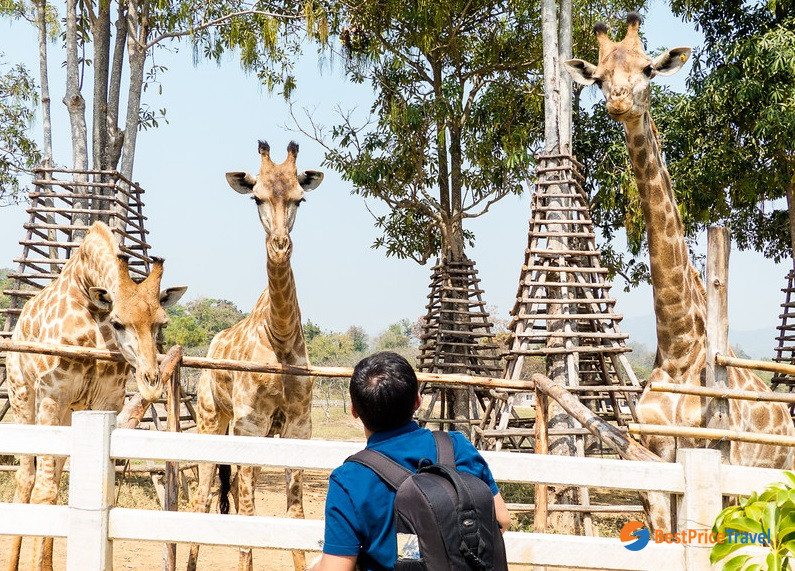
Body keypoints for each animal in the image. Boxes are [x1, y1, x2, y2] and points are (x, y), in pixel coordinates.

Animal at [5, 221, 186, 571]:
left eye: (162, 322)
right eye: (118, 322)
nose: (151, 381)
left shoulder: (105, 400)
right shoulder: (52, 396)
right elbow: (44, 491)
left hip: (67, 413)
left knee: (55, 472)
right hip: (23, 397)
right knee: (27, 478)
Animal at [186, 140, 323, 571]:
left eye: (300, 199)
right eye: (256, 198)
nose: (280, 246)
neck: (279, 336)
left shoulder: (298, 427)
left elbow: (295, 514)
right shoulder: (248, 423)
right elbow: (246, 512)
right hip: (212, 419)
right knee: (202, 497)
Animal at [564, 13, 795, 532]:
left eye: (649, 70)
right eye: (600, 78)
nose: (618, 101)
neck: (678, 347)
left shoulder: (715, 463)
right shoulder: (653, 472)